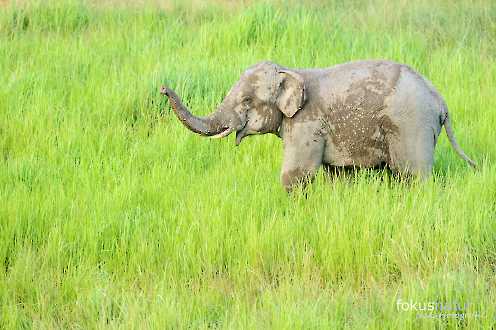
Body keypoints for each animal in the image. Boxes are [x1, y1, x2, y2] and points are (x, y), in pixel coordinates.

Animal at [160, 60, 476, 192]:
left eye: (247, 100)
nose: (163, 88)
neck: (291, 70)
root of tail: (440, 100)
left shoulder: (306, 123)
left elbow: (296, 175)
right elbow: (339, 175)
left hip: (411, 126)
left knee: (412, 175)